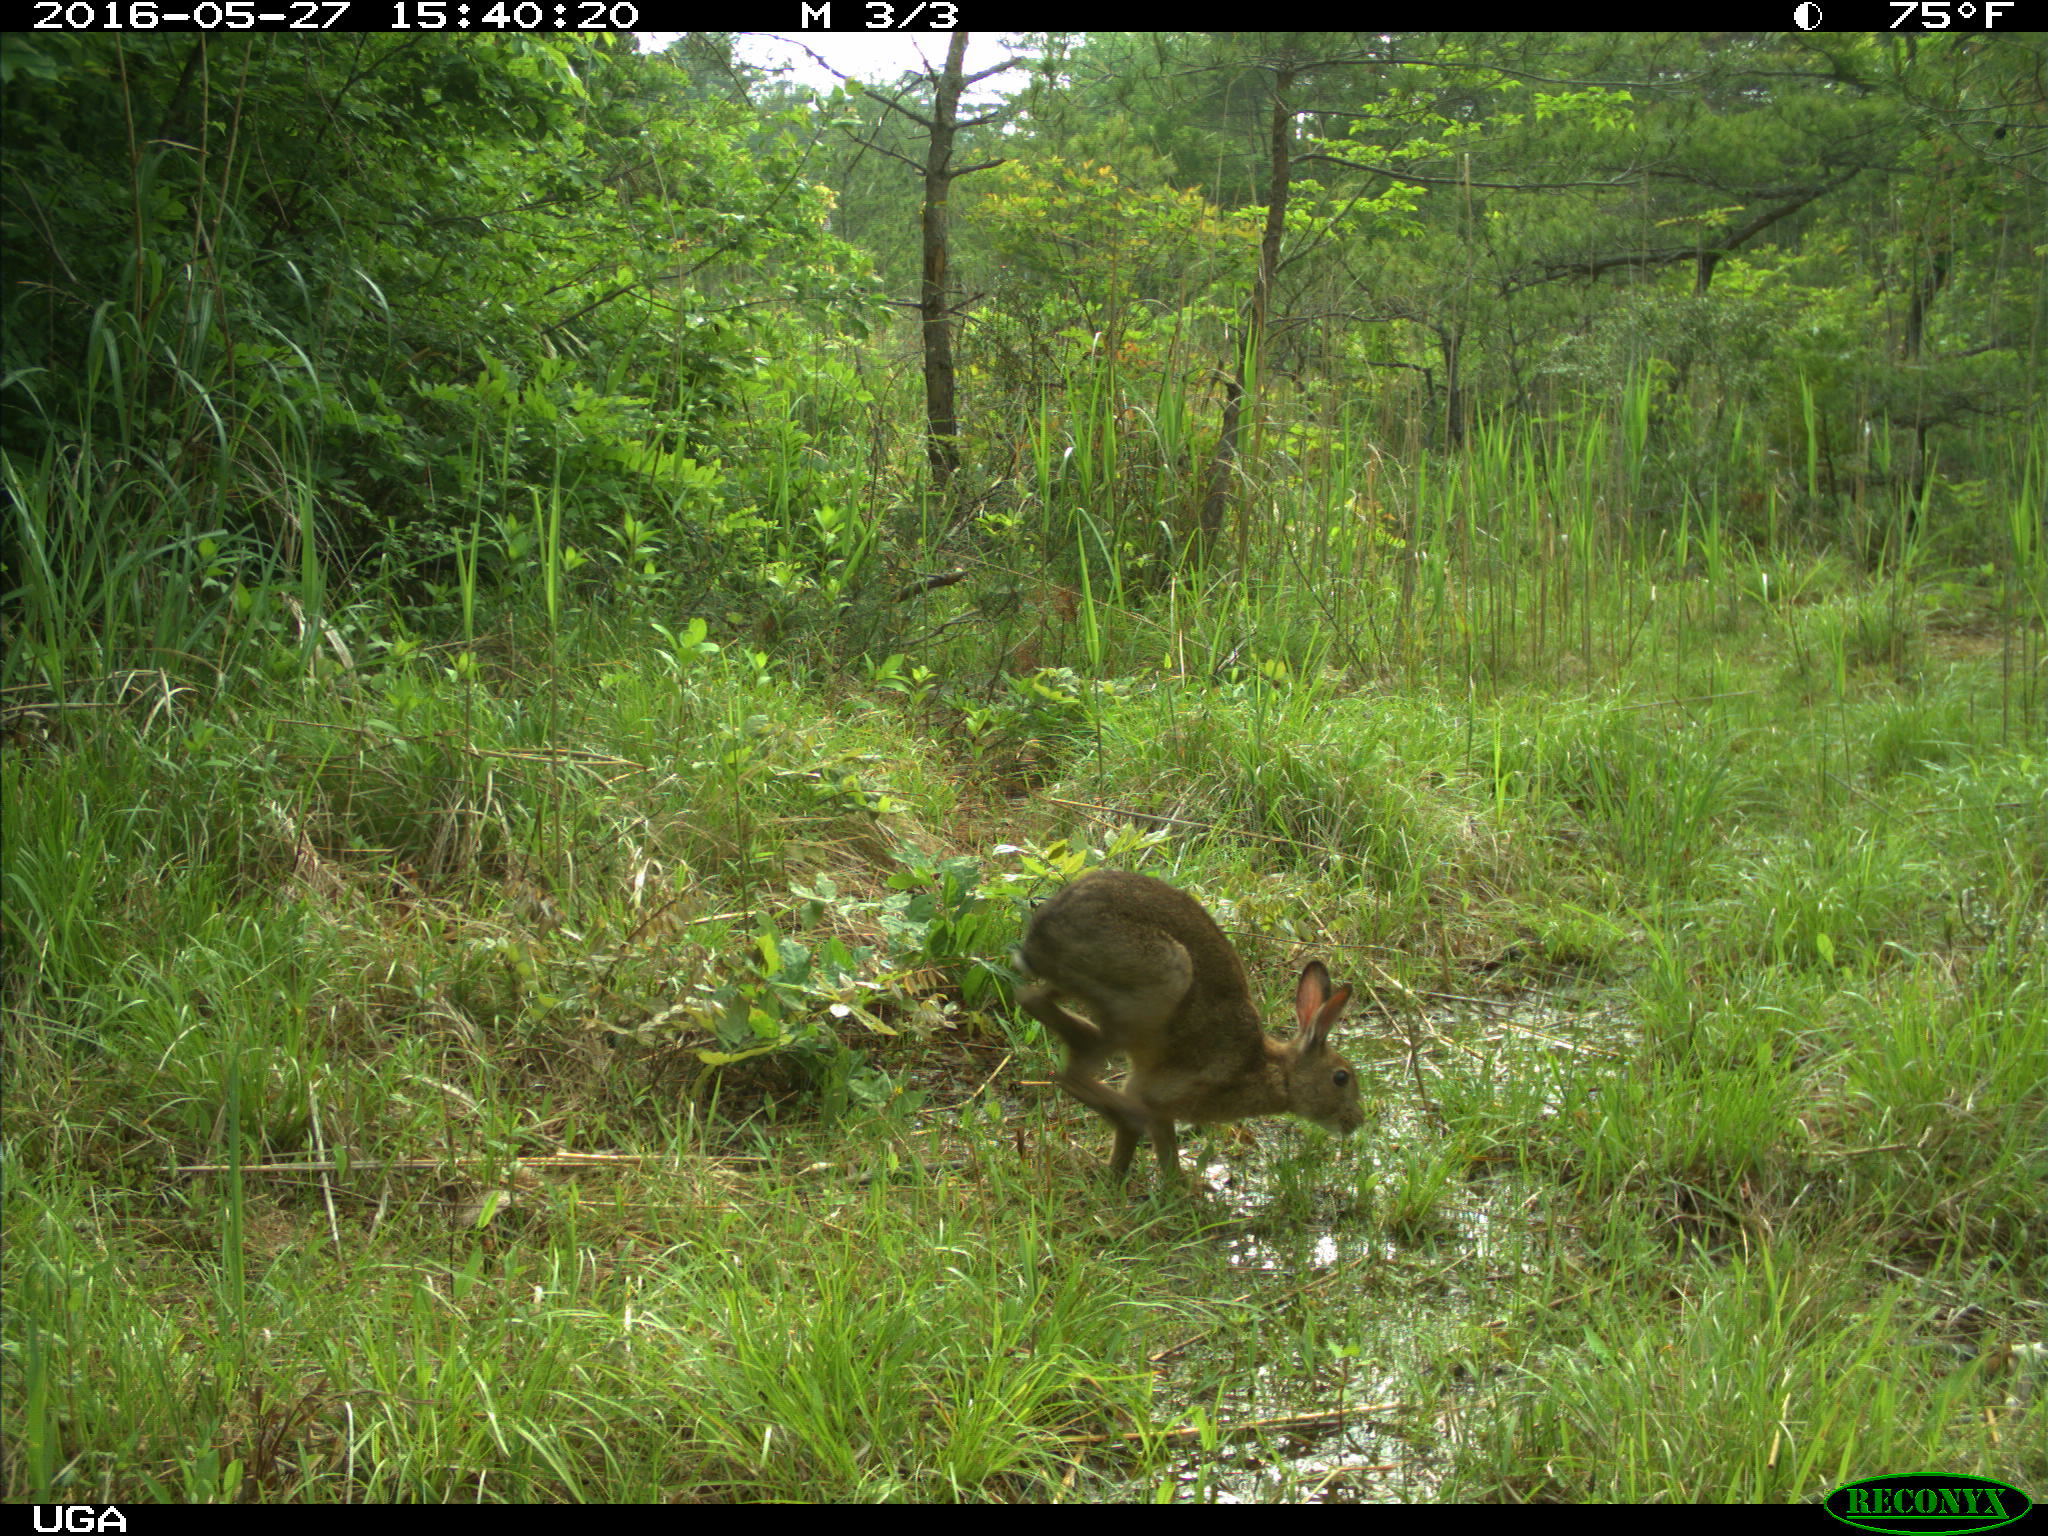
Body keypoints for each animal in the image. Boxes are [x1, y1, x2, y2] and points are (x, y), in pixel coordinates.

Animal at [1011, 872, 1359, 1187]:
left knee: (1034, 1001)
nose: (1355, 1122)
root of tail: (1039, 937)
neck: (1276, 1072)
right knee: (1074, 1074)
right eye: (1341, 1077)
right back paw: (1122, 1107)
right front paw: (1171, 1188)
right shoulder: (1160, 1095)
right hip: (1161, 978)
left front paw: (1128, 1180)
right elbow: (1155, 1140)